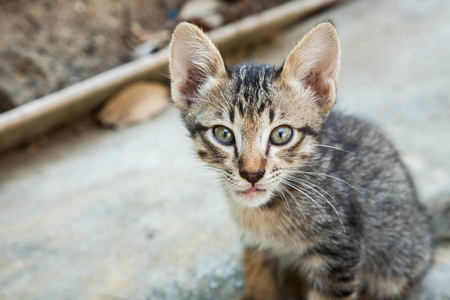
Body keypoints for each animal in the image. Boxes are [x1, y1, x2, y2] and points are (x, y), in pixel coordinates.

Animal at [170, 21, 446, 300]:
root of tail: (425, 222)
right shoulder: (255, 242)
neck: (265, 212)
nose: (252, 174)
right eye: (223, 134)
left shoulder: (337, 253)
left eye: (281, 134)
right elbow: (256, 269)